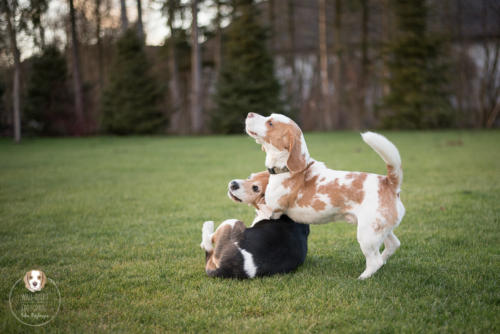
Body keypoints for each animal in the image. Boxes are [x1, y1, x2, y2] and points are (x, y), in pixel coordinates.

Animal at [246, 112, 406, 280]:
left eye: (270, 123)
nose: (250, 114)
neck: (286, 169)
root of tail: (389, 182)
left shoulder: (273, 210)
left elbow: (259, 214)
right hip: (380, 230)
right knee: (393, 245)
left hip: (366, 235)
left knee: (374, 261)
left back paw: (362, 278)